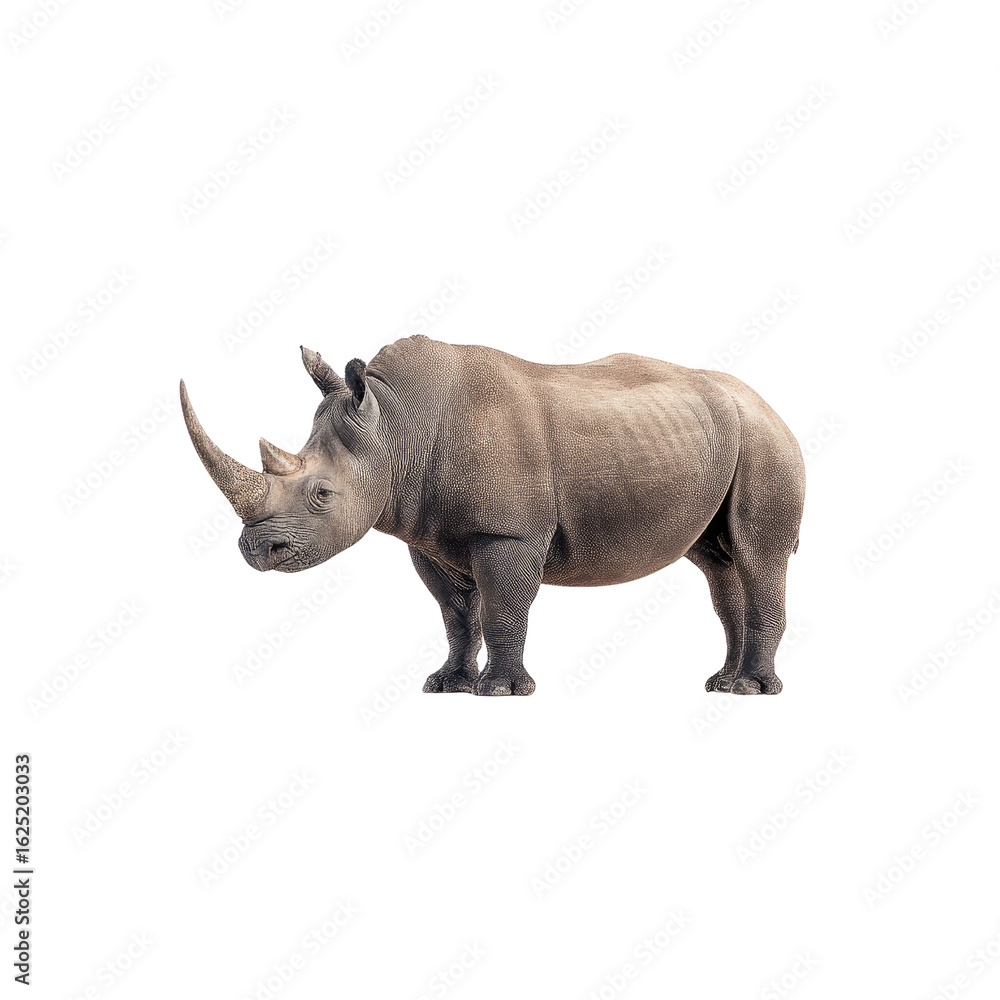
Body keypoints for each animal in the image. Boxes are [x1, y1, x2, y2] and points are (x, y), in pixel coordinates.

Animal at [180, 336, 804, 696]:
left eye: (322, 495)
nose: (256, 552)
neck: (395, 426)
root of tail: (768, 403)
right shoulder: (430, 533)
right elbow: (457, 613)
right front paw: (446, 684)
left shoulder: (509, 532)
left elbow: (503, 607)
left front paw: (501, 692)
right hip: (718, 436)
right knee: (718, 563)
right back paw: (721, 683)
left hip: (765, 441)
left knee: (758, 555)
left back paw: (753, 691)